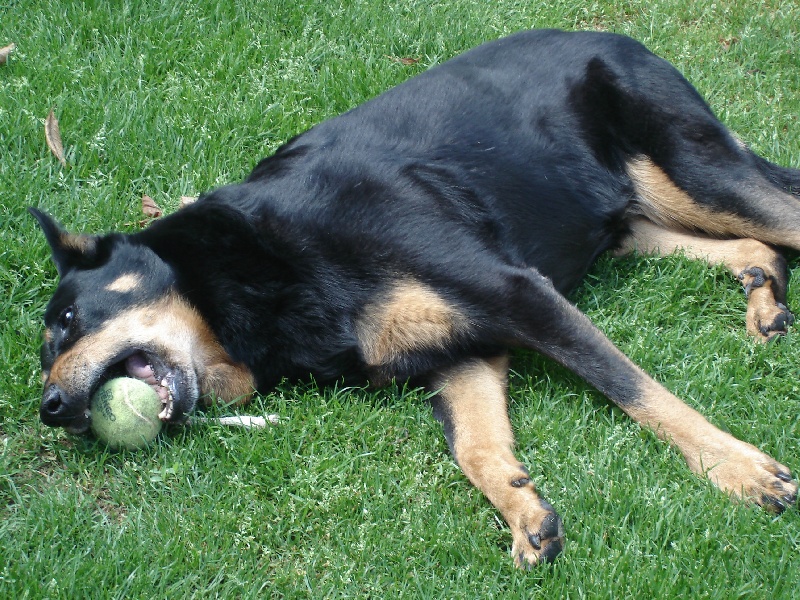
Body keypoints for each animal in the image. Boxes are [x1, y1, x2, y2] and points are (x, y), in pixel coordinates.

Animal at [31, 31, 800, 568]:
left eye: (65, 319)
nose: (50, 409)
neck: (259, 264)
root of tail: (619, 38)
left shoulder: (516, 293)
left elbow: (637, 391)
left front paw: (737, 470)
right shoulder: (460, 348)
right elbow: (477, 447)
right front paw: (525, 513)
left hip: (693, 170)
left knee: (779, 219)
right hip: (631, 216)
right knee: (754, 246)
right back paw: (763, 301)